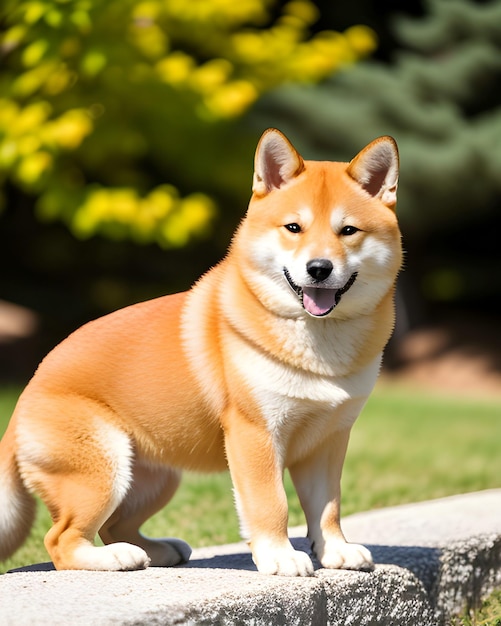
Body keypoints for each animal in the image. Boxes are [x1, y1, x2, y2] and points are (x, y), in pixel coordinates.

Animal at [0, 128, 400, 576]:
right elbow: (271, 503)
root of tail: (21, 401)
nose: (319, 268)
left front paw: (334, 550)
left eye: (348, 230)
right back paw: (115, 557)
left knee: (113, 525)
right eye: (293, 227)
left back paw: (154, 550)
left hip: (156, 478)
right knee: (62, 539)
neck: (318, 341)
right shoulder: (255, 433)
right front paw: (279, 556)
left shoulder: (328, 440)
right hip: (102, 467)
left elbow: (327, 506)